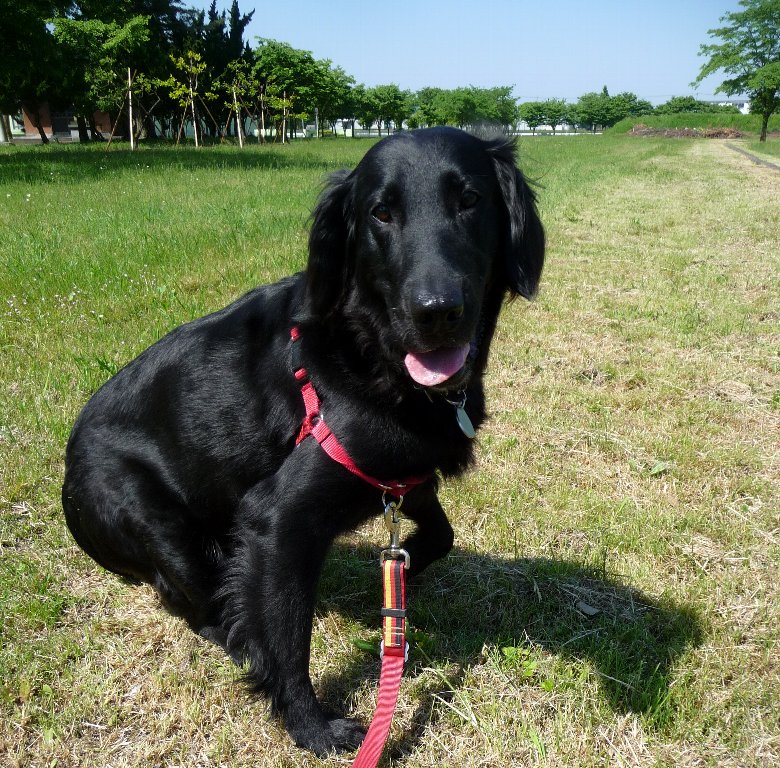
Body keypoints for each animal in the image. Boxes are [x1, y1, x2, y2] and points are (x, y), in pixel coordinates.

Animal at [62, 126, 545, 755]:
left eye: (469, 200)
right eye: (381, 213)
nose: (437, 311)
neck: (370, 355)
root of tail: (66, 476)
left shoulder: (401, 474)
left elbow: (440, 533)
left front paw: (392, 580)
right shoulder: (278, 521)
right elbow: (288, 639)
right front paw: (311, 726)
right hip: (162, 527)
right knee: (202, 607)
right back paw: (238, 635)